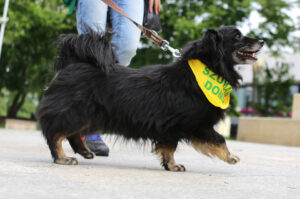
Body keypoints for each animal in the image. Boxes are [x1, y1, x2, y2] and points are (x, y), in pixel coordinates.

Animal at [37, 25, 262, 170]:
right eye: (238, 36)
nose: (261, 41)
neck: (206, 71)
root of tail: (72, 64)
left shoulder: (170, 128)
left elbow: (169, 148)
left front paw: (171, 165)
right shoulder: (195, 124)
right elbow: (219, 139)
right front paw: (231, 157)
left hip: (87, 116)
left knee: (72, 134)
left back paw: (83, 151)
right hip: (76, 112)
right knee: (55, 134)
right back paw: (62, 158)